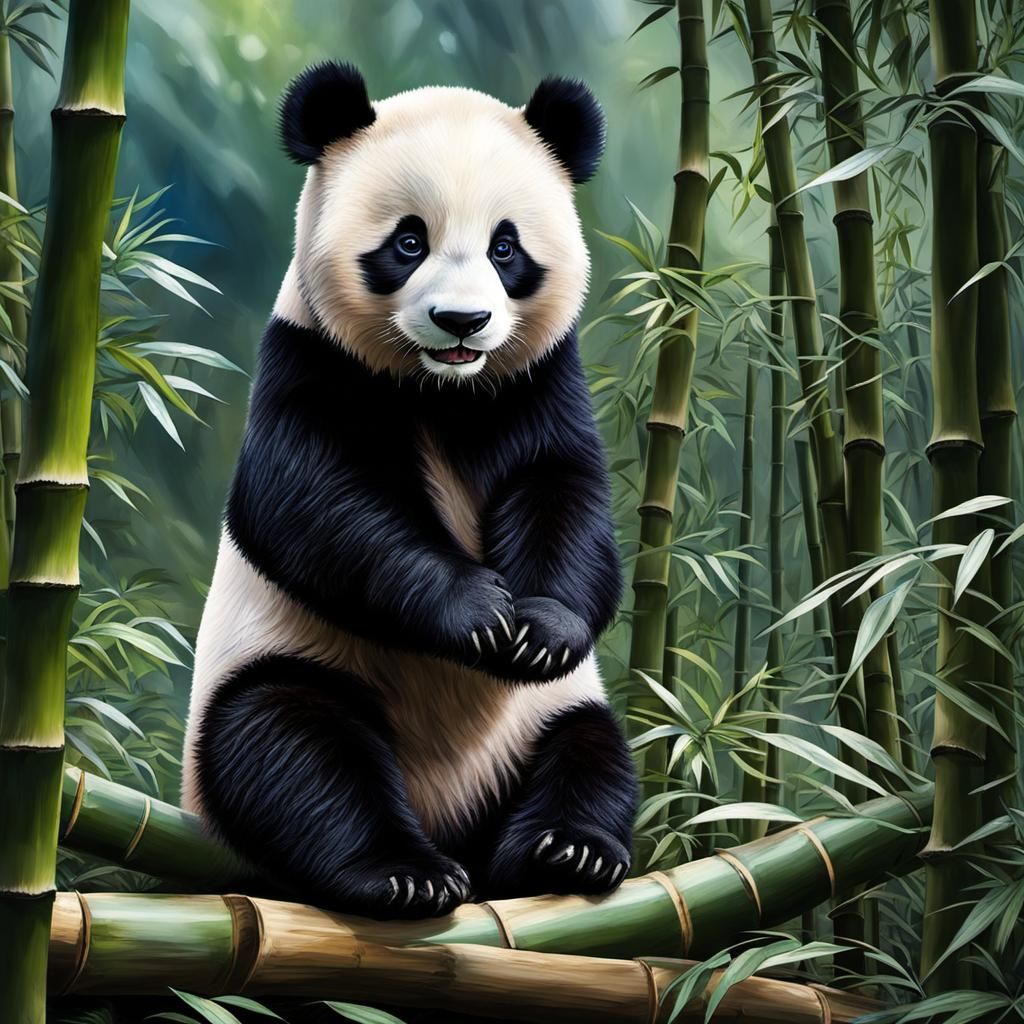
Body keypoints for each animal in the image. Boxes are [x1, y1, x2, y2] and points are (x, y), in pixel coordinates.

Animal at [182, 62, 637, 920]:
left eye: (505, 246)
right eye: (408, 240)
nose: (462, 321)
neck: (442, 392)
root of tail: (450, 820)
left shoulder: (539, 382)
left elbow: (564, 490)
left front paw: (540, 627)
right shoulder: (310, 361)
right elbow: (317, 506)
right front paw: (477, 613)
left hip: (542, 720)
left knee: (591, 754)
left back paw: (567, 852)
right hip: (282, 667)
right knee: (291, 747)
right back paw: (402, 872)